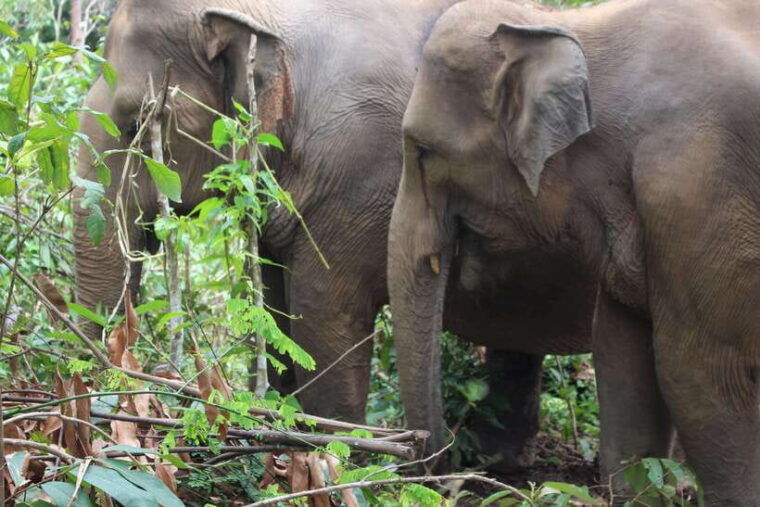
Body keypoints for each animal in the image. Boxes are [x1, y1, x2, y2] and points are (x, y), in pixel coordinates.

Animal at [73, 0, 573, 470]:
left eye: (137, 122)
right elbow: (277, 307)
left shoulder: (362, 175)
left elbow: (324, 314)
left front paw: (343, 459)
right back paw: (500, 461)